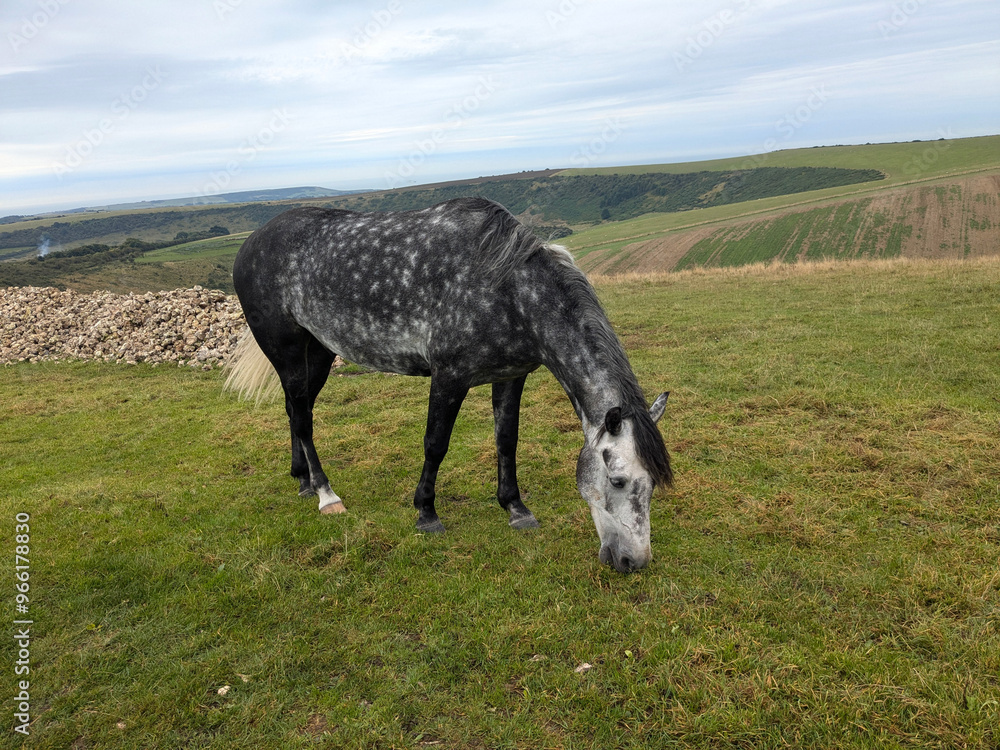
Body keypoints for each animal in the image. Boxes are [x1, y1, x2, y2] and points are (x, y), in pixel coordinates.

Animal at [225, 197, 671, 573]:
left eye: (653, 482)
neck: (508, 289)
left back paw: (302, 481)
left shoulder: (511, 376)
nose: (633, 561)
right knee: (302, 417)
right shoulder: (449, 377)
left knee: (295, 409)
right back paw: (325, 495)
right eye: (617, 480)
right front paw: (426, 513)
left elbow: (506, 439)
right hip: (286, 351)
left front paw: (515, 507)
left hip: (317, 350)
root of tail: (251, 242)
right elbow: (435, 443)